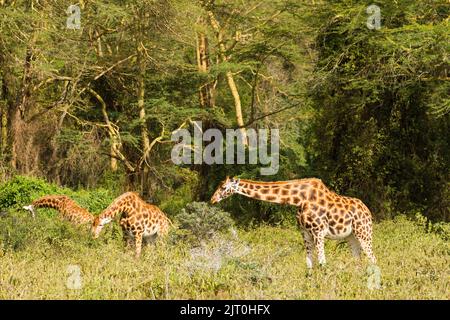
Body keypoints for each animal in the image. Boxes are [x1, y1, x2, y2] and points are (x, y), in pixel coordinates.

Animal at [211, 176, 376, 268]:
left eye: (223, 187)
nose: (212, 200)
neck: (298, 199)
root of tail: (368, 212)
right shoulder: (305, 233)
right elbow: (309, 265)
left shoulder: (318, 232)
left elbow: (322, 264)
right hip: (351, 237)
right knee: (358, 261)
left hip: (364, 234)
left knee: (373, 259)